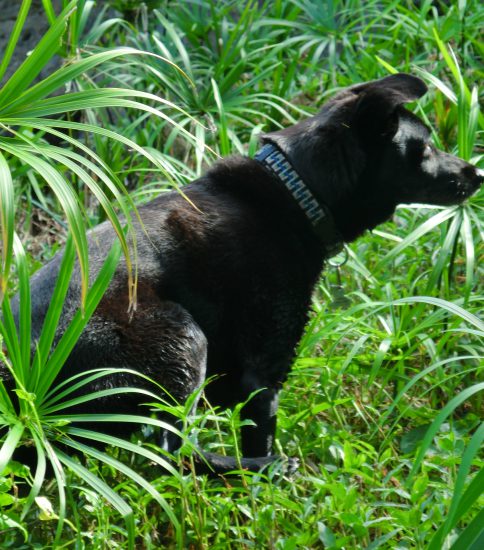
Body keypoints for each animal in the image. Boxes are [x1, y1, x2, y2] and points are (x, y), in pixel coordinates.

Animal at [1, 74, 482, 474]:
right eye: (425, 149)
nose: (476, 172)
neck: (298, 190)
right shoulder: (263, 372)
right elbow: (260, 427)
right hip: (181, 336)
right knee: (170, 454)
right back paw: (263, 469)